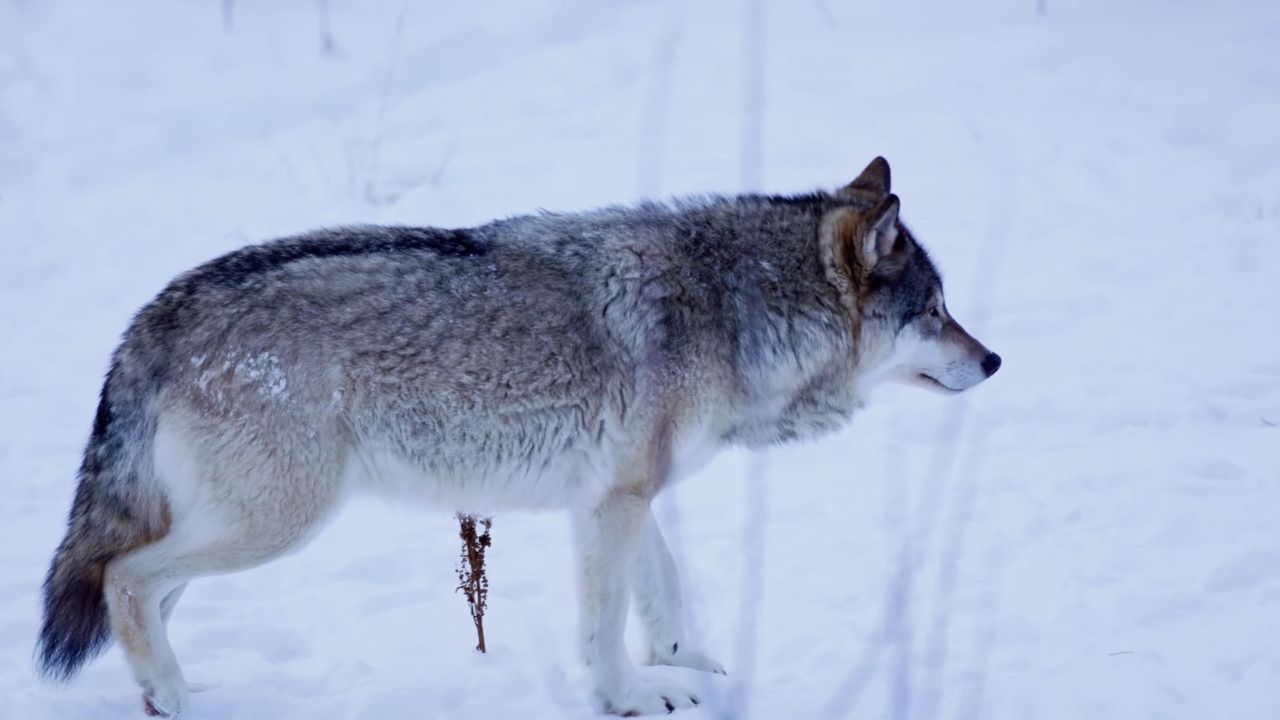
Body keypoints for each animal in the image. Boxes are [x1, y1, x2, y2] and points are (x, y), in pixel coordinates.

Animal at [37, 155, 998, 712]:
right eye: (937, 313)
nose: (993, 361)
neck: (733, 309)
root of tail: (153, 317)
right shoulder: (615, 504)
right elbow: (605, 623)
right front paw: (628, 698)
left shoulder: (618, 496)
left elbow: (665, 593)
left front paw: (690, 669)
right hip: (277, 525)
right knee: (125, 579)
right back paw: (174, 695)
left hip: (231, 527)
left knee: (141, 592)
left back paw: (171, 692)